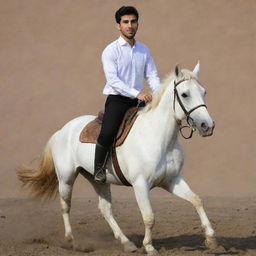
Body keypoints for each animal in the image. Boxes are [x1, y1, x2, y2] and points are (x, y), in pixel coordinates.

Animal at [18, 62, 216, 256]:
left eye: (204, 92)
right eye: (184, 94)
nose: (207, 126)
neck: (158, 138)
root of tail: (62, 131)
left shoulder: (171, 180)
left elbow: (196, 200)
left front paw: (210, 238)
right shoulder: (140, 184)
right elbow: (149, 216)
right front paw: (149, 247)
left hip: (98, 180)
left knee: (105, 209)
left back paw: (126, 243)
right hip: (66, 179)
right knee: (65, 206)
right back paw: (71, 241)